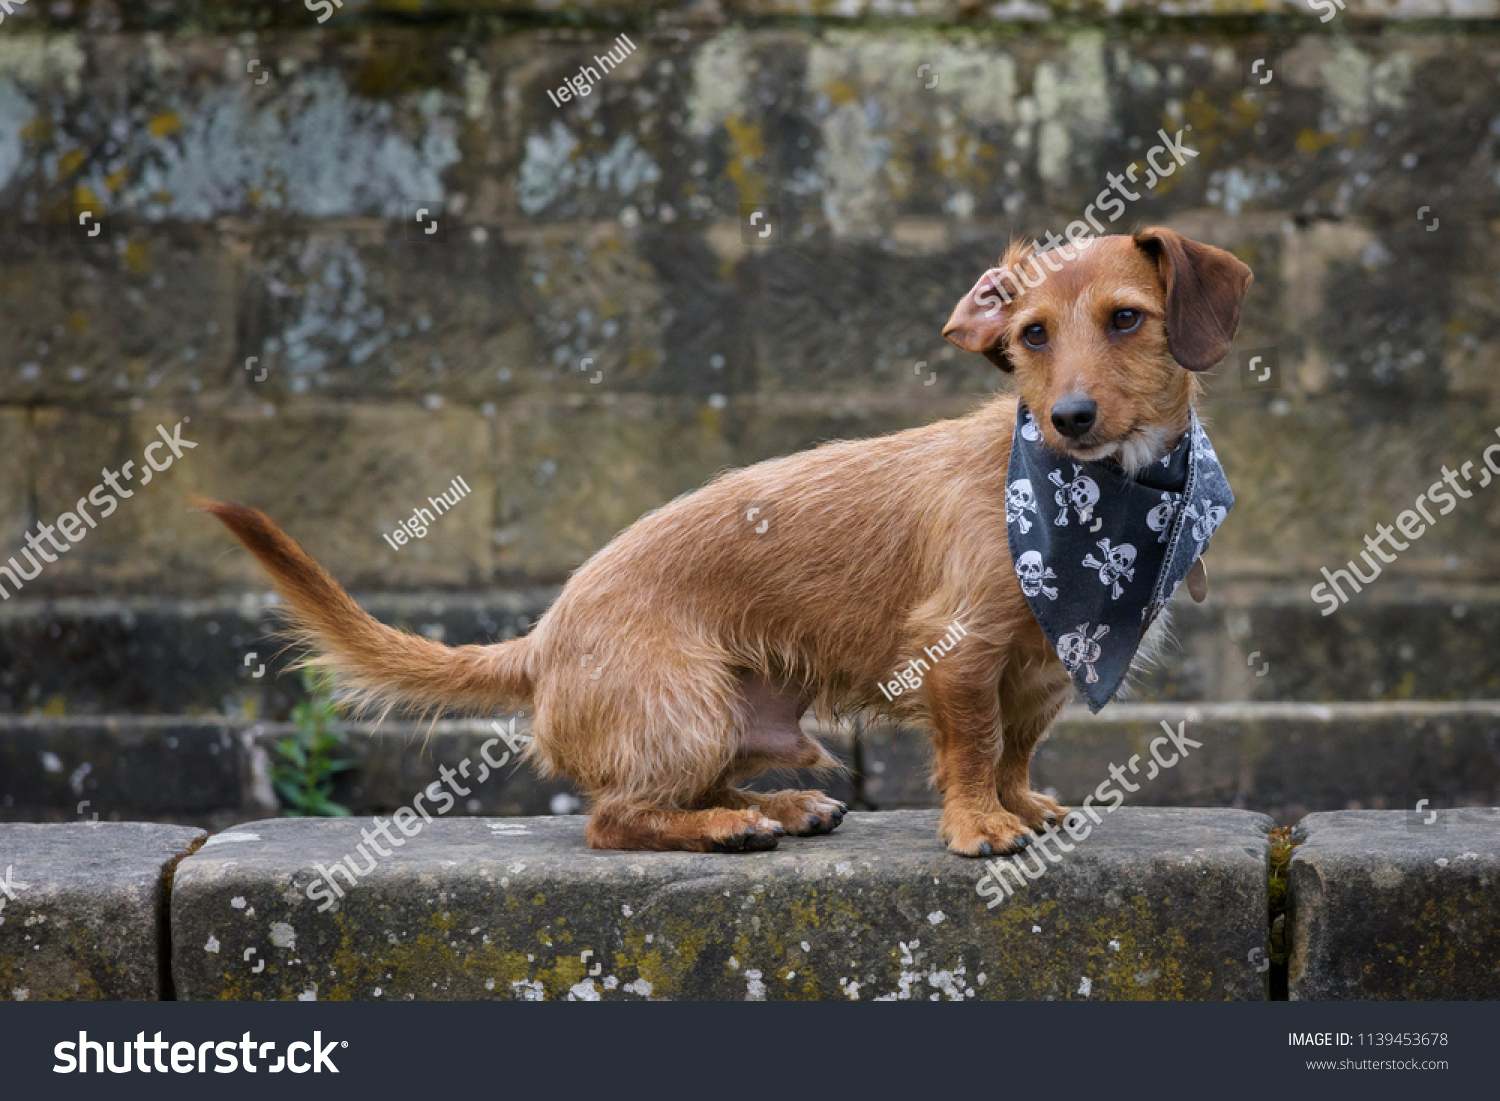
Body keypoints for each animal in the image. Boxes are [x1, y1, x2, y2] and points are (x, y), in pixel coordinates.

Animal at [202, 226, 1254, 864]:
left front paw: (1021, 804)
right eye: (1032, 334)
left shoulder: (1036, 668)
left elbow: (1017, 746)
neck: (1102, 502)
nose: (1069, 417)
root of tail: (541, 639)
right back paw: (729, 828)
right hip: (688, 707)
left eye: (1127, 318)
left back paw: (778, 806)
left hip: (729, 719)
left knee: (685, 789)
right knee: (613, 819)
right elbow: (974, 743)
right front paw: (979, 824)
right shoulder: (958, 651)